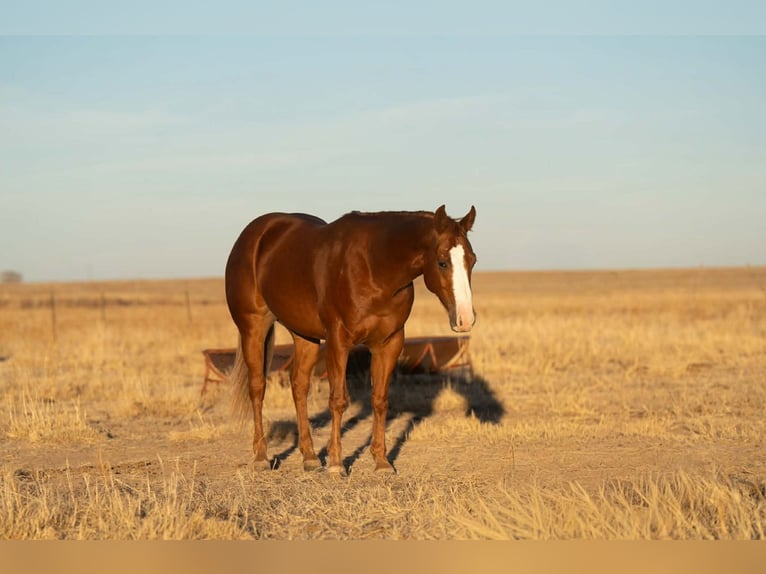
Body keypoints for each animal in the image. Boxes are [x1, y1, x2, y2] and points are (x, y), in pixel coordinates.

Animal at [225, 205, 477, 473]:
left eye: (472, 260)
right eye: (442, 262)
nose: (465, 319)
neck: (375, 267)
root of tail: (255, 234)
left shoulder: (389, 343)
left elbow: (380, 399)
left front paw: (382, 462)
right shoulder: (338, 340)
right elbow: (338, 400)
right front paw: (336, 463)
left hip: (304, 336)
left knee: (299, 386)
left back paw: (310, 457)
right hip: (253, 328)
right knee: (257, 387)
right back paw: (261, 457)